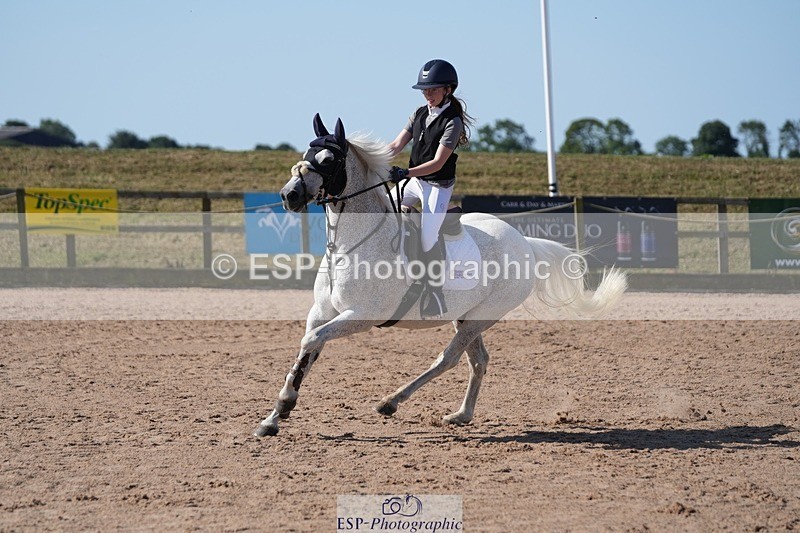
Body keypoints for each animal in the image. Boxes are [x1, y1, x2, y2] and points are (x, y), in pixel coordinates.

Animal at [253, 114, 627, 437]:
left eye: (329, 160)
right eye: (306, 155)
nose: (289, 196)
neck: (351, 243)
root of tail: (525, 242)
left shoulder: (360, 315)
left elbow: (311, 342)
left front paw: (283, 407)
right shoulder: (322, 312)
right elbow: (308, 349)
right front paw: (273, 418)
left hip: (482, 316)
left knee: (450, 358)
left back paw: (391, 402)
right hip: (466, 315)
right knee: (478, 361)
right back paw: (461, 415)